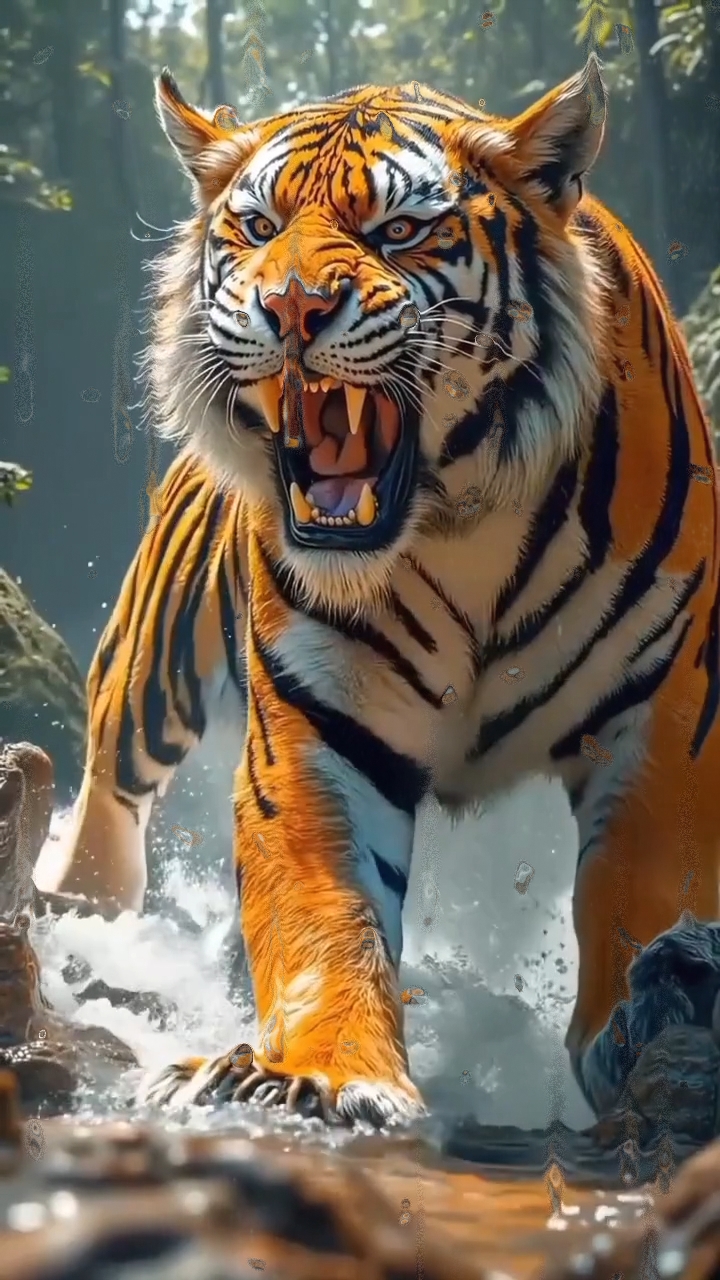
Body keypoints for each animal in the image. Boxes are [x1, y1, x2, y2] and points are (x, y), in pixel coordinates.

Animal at [43, 54, 720, 1125]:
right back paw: (83, 926)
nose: (289, 309)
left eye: (398, 231)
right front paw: (330, 1074)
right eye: (258, 226)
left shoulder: (664, 714)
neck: (463, 520)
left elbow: (639, 892)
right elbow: (327, 915)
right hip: (149, 675)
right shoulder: (316, 732)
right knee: (108, 800)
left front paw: (640, 1024)